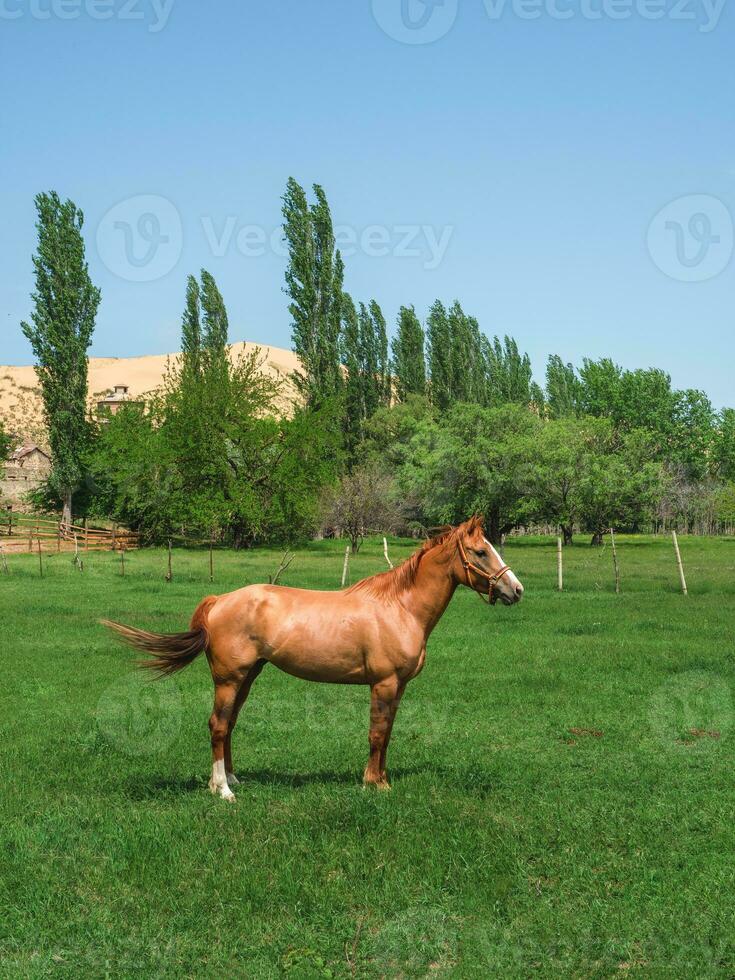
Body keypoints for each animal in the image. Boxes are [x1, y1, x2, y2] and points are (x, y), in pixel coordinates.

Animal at [108, 516, 524, 800]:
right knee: (218, 725)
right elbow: (376, 733)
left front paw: (382, 779)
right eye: (481, 551)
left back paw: (233, 778)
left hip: (248, 676)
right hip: (229, 678)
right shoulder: (384, 683)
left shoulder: (398, 687)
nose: (516, 590)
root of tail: (219, 600)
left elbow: (387, 733)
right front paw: (373, 784)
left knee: (229, 725)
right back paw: (223, 789)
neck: (399, 607)